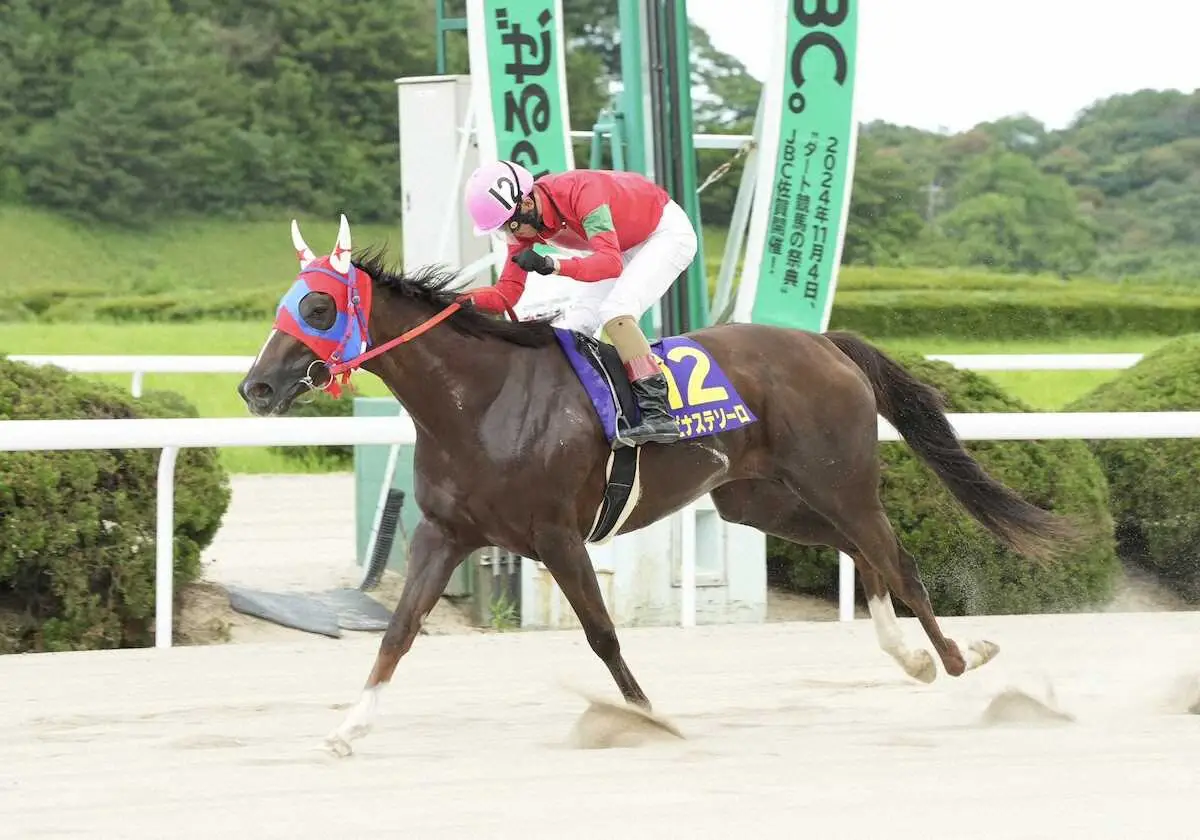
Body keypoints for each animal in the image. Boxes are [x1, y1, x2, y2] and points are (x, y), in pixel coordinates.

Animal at [238, 216, 1075, 753]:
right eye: (286, 303)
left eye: (318, 305)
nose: (254, 387)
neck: (480, 400)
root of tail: (826, 344)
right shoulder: (447, 532)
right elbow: (401, 630)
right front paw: (348, 727)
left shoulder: (557, 535)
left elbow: (602, 634)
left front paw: (646, 718)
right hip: (756, 498)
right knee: (862, 552)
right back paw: (913, 657)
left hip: (841, 482)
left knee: (896, 557)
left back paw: (962, 659)